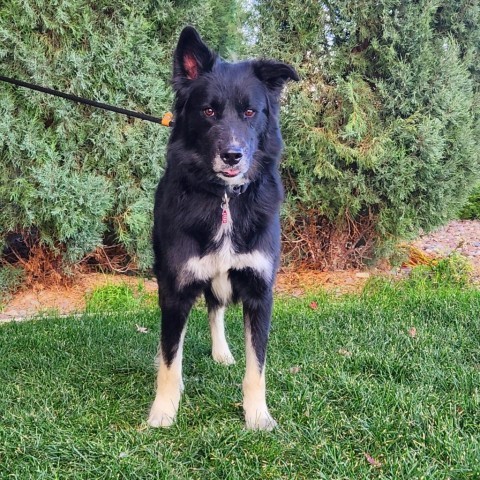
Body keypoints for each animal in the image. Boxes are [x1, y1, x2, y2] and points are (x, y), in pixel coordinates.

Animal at [148, 27, 298, 432]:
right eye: (209, 111)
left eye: (250, 111)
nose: (233, 155)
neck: (225, 198)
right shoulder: (177, 287)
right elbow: (171, 358)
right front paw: (163, 411)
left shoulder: (260, 293)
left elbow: (256, 368)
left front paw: (258, 416)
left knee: (215, 308)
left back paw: (222, 353)